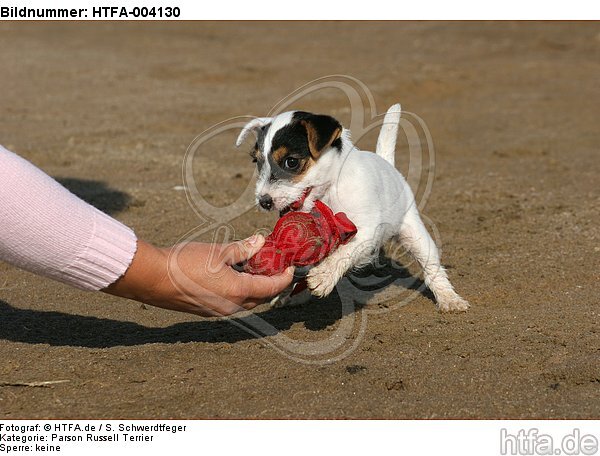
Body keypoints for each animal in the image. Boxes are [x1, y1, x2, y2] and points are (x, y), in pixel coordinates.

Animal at [234, 106, 468, 314]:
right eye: (256, 161)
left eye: (291, 162)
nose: (264, 201)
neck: (329, 190)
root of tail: (387, 163)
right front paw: (292, 289)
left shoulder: (366, 231)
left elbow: (343, 253)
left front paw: (323, 277)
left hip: (415, 235)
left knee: (432, 268)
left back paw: (449, 299)